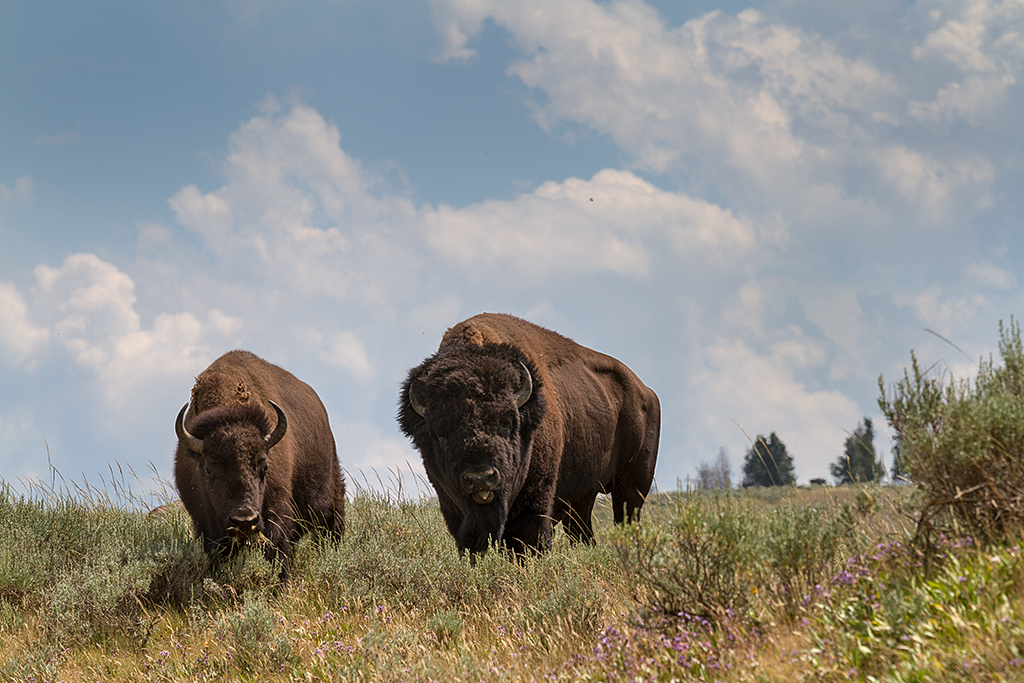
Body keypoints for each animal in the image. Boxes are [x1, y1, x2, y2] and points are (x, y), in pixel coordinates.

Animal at [174, 352, 346, 577]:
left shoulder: (276, 513)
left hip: (329, 499)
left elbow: (278, 549)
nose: (244, 520)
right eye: (208, 469)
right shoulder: (205, 524)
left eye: (264, 466)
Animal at [395, 313, 659, 557]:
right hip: (582, 499)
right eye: (441, 433)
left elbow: (530, 542)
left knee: (626, 518)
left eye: (506, 424)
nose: (480, 478)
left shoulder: (535, 501)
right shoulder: (453, 506)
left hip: (632, 487)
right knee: (582, 533)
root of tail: (646, 392)